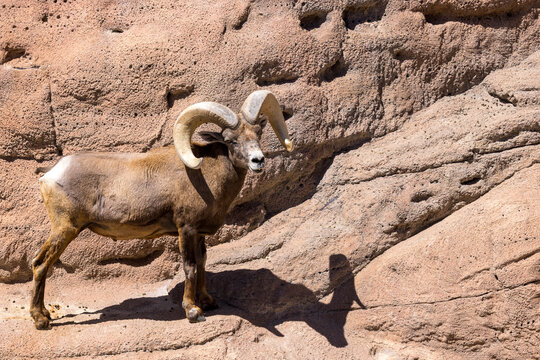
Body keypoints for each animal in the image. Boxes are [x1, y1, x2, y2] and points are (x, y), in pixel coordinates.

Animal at [31, 89, 294, 330]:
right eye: (231, 140)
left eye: (258, 133)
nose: (258, 160)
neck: (207, 174)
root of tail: (49, 175)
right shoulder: (186, 229)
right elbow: (190, 267)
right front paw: (193, 311)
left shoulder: (199, 233)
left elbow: (202, 263)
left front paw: (207, 302)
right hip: (66, 229)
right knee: (41, 264)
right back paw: (41, 320)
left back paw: (44, 315)